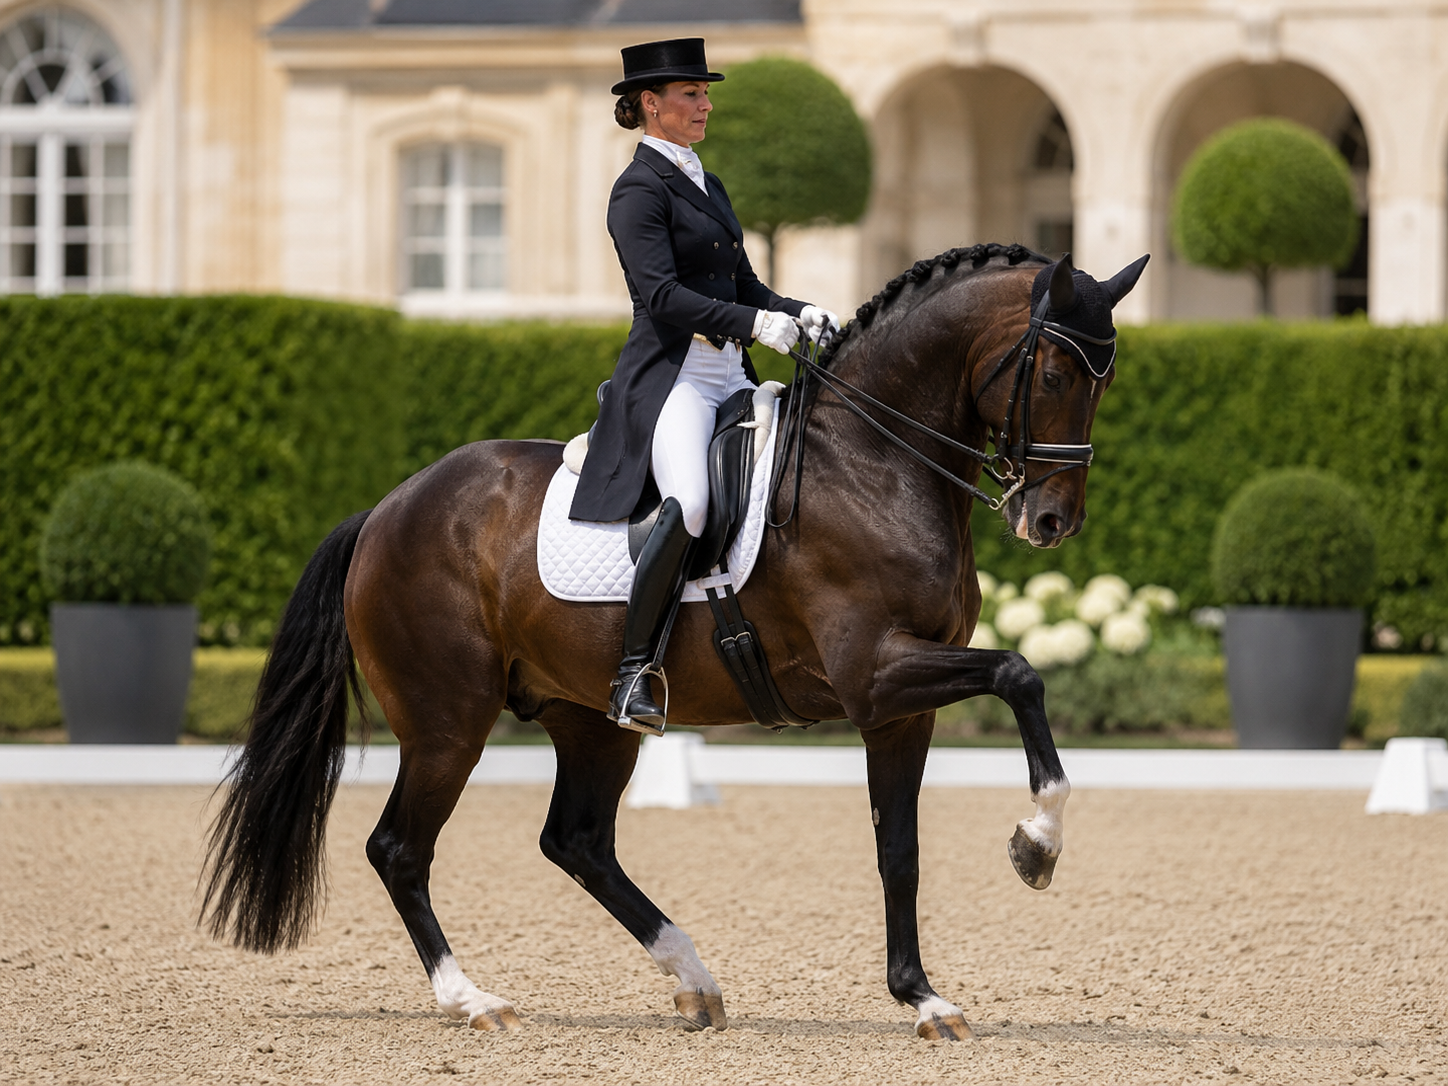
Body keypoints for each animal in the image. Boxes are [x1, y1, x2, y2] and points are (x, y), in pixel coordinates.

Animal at [201, 243, 1148, 1042]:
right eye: (1054, 369)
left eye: (1105, 383)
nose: (1052, 521)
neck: (872, 462)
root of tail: (386, 509)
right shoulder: (877, 673)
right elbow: (1021, 675)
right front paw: (1036, 846)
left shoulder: (896, 710)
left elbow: (899, 851)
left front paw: (923, 997)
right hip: (448, 722)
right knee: (401, 849)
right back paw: (475, 1000)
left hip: (588, 718)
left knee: (577, 841)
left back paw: (694, 981)